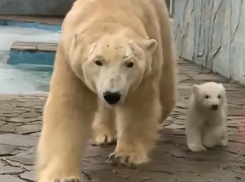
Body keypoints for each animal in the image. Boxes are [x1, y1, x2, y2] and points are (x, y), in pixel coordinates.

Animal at [36, 0, 176, 182]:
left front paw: (124, 156)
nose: (112, 95)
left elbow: (137, 106)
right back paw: (105, 134)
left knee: (166, 89)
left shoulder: (144, 68)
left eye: (129, 63)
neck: (109, 13)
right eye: (98, 61)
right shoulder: (70, 61)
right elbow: (69, 107)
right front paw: (63, 176)